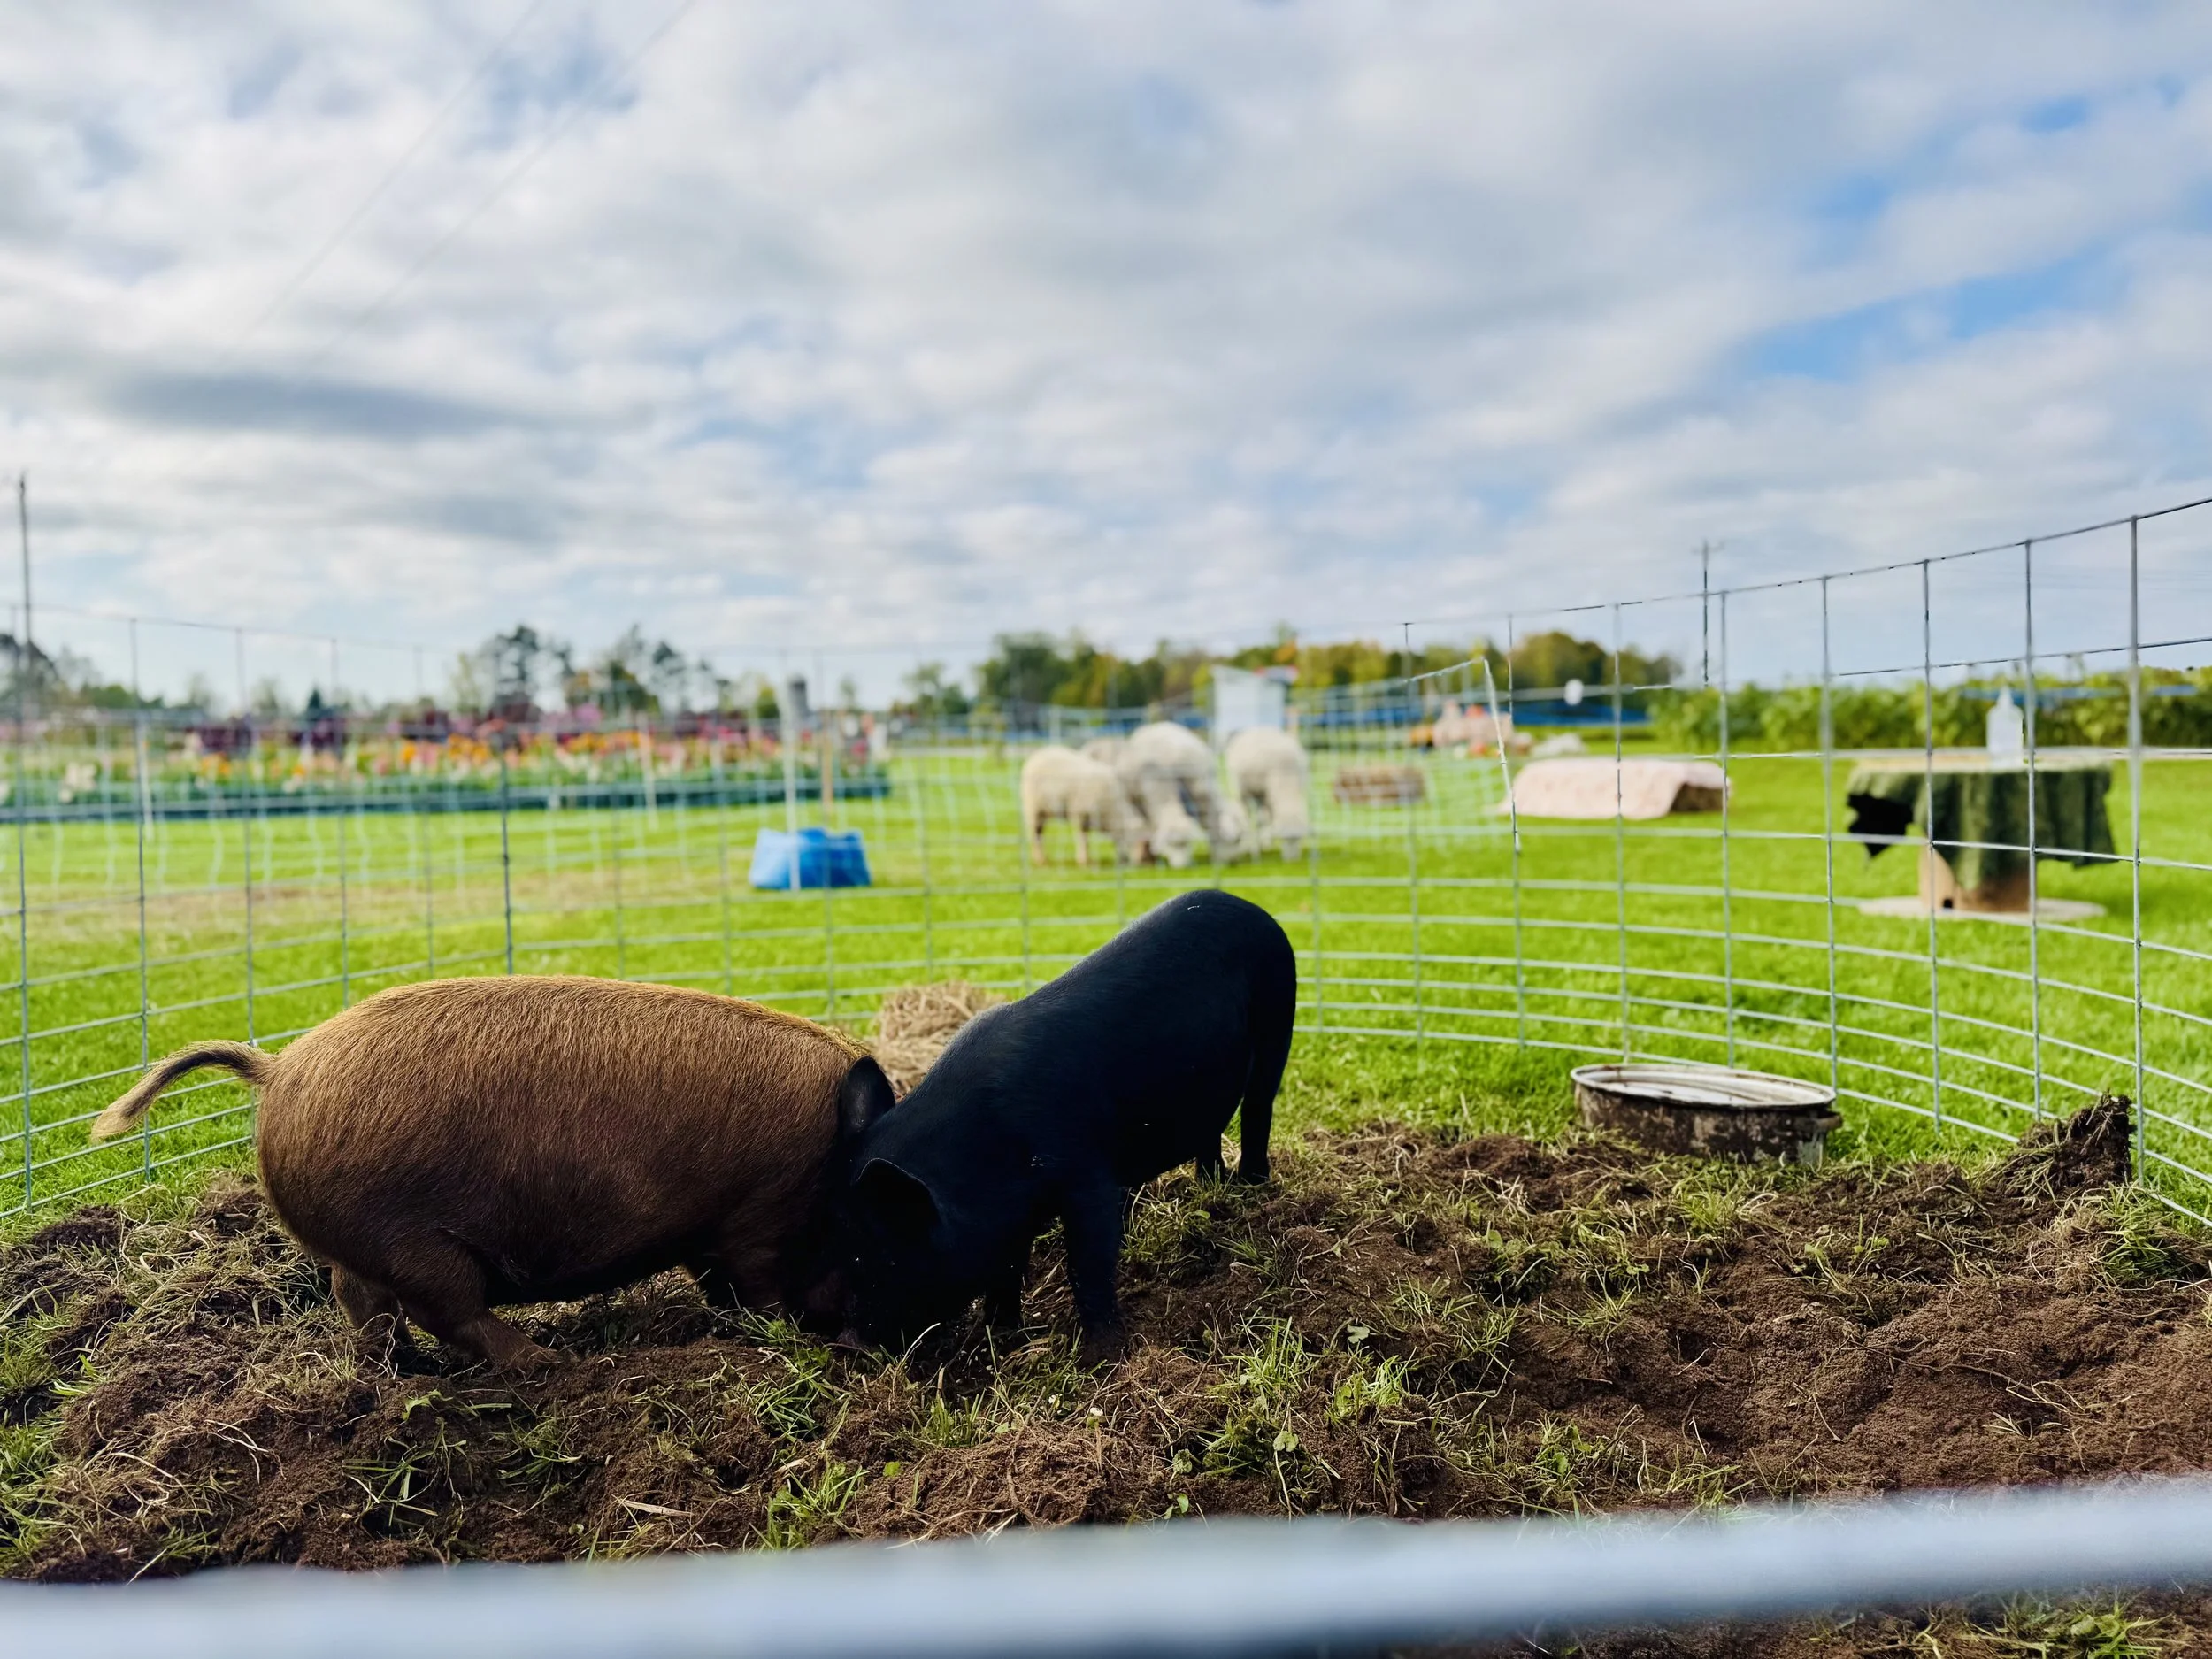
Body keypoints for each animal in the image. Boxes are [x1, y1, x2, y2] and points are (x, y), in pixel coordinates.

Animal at [89, 975, 897, 1370]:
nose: (859, 1341)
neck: (828, 1164)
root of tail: (280, 1065)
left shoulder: (719, 1229)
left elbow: (723, 1284)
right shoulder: (761, 1210)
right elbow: (756, 1285)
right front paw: (785, 1336)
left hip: (361, 1246)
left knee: (365, 1306)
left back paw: (403, 1372)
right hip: (416, 1242)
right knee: (448, 1310)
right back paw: (542, 1361)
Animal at [834, 889, 1295, 1365]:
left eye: (878, 1254)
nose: (848, 1342)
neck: (985, 1159)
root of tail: (1245, 904)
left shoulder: (1086, 1177)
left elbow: (1087, 1266)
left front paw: (1104, 1355)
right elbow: (1007, 1270)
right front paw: (998, 1336)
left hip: (1278, 1016)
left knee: (1259, 1107)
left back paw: (1252, 1186)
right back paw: (1211, 1187)